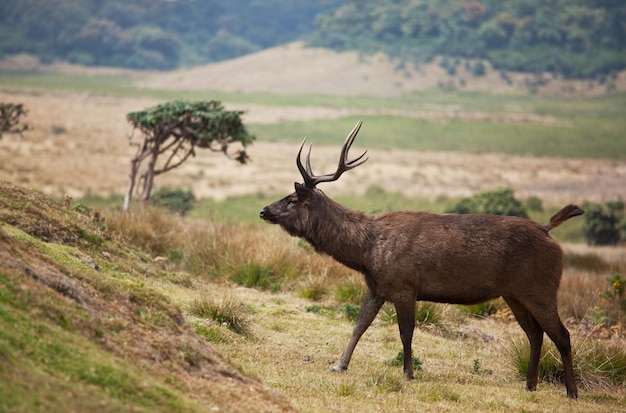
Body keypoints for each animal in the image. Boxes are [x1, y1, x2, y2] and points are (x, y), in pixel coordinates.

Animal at [258, 120, 580, 398]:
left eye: (292, 199)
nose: (263, 211)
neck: (367, 251)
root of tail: (547, 229)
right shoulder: (377, 286)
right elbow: (359, 325)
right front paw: (339, 364)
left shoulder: (404, 285)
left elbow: (406, 332)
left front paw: (408, 373)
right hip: (514, 294)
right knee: (535, 334)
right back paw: (530, 385)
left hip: (540, 286)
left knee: (562, 334)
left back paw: (571, 392)